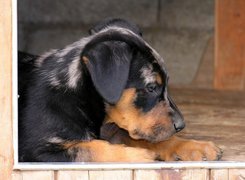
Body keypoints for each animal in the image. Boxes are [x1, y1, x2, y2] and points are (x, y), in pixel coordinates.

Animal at [19, 18, 222, 162]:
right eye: (151, 87)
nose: (181, 125)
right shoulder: (37, 150)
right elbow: (90, 148)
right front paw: (142, 156)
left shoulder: (117, 130)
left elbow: (149, 139)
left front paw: (194, 146)